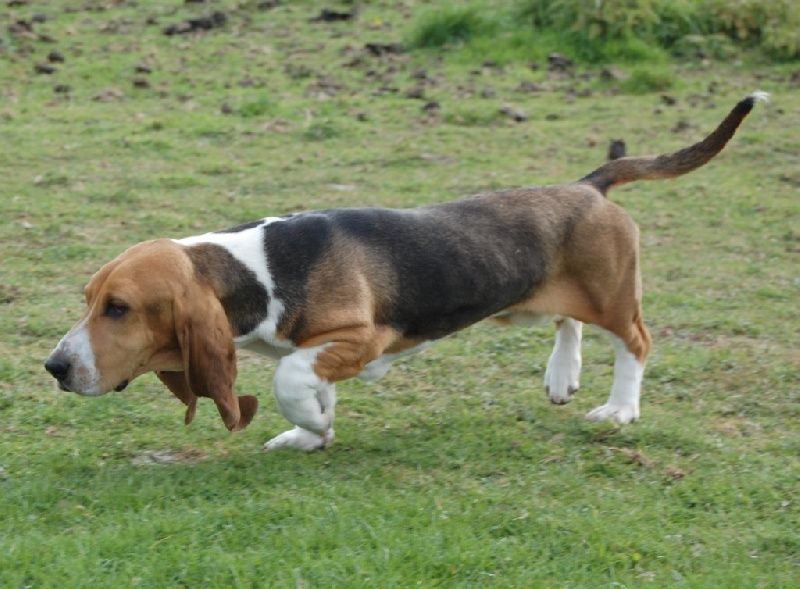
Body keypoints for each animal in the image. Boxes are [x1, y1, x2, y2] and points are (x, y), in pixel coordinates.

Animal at [45, 92, 768, 450]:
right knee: (567, 321)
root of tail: (586, 186)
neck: (256, 268)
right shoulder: (322, 346)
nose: (54, 367)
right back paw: (563, 375)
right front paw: (311, 432)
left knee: (635, 342)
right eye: (89, 298)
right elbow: (309, 387)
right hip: (544, 292)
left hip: (613, 293)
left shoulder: (359, 337)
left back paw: (619, 409)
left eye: (119, 308)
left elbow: (287, 377)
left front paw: (310, 425)